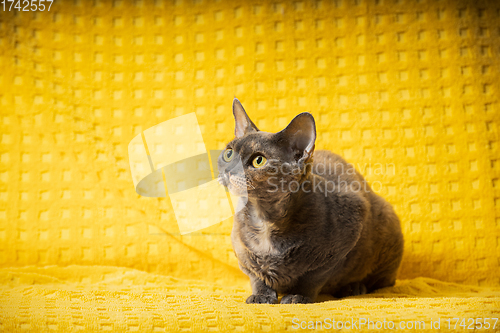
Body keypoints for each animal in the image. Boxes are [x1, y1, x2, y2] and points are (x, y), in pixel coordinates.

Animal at [217, 98, 404, 304]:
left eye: (259, 160)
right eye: (228, 154)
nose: (229, 170)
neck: (263, 217)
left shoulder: (344, 238)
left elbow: (312, 277)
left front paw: (298, 296)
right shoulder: (242, 253)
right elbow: (256, 275)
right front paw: (261, 295)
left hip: (387, 222)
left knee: (382, 281)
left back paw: (354, 287)